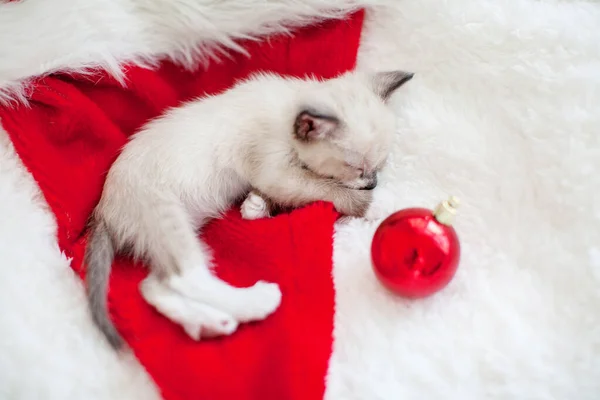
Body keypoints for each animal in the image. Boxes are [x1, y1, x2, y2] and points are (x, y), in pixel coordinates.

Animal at [84, 69, 412, 350]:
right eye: (358, 169)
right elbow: (324, 188)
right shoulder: (274, 171)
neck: (287, 111)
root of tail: (104, 209)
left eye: (379, 166)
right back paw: (258, 301)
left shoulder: (274, 176)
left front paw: (257, 205)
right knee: (184, 277)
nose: (372, 183)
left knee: (154, 285)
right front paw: (374, 203)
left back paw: (210, 323)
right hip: (166, 215)